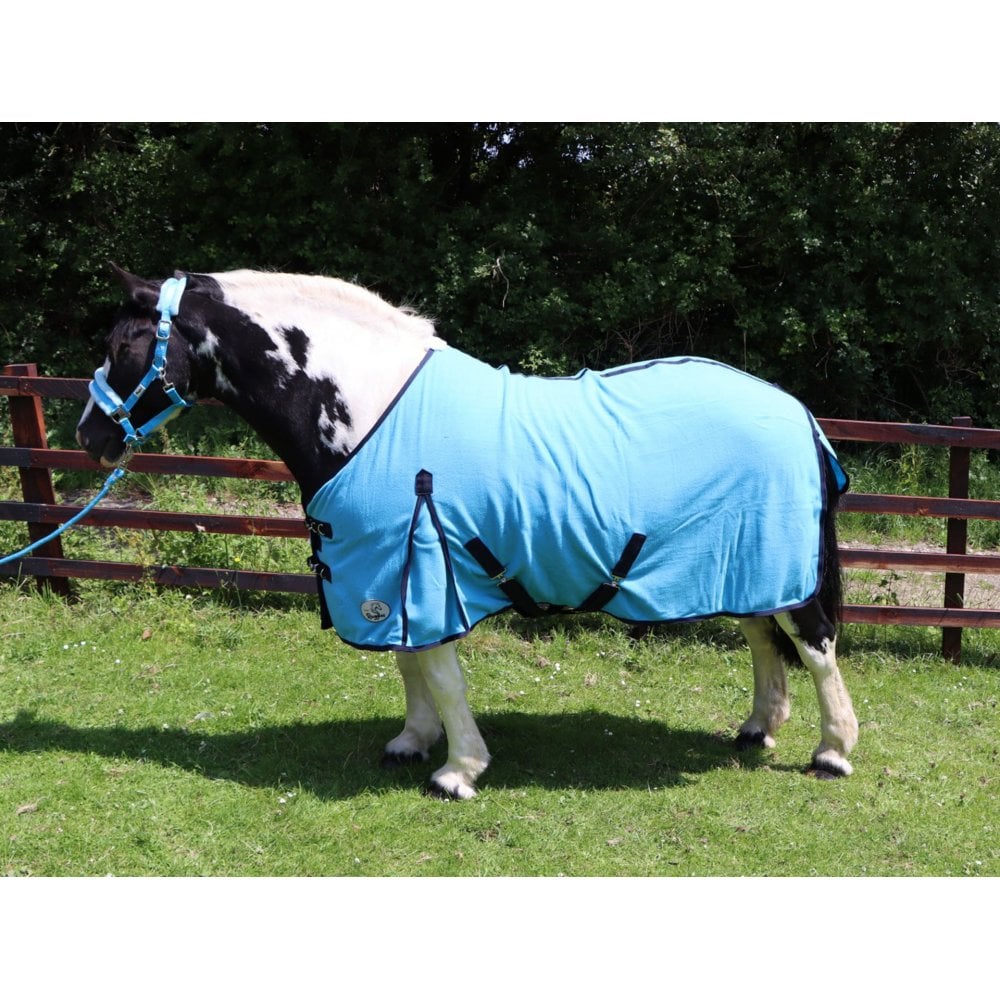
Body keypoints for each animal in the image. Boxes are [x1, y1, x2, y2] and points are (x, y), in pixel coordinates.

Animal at [76, 267, 859, 799]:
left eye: (128, 343)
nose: (88, 438)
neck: (368, 408)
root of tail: (795, 409)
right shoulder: (387, 572)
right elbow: (409, 664)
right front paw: (412, 742)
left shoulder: (423, 564)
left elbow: (442, 674)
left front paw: (458, 769)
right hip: (742, 562)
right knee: (763, 638)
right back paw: (757, 728)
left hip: (777, 566)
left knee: (815, 645)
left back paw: (832, 751)